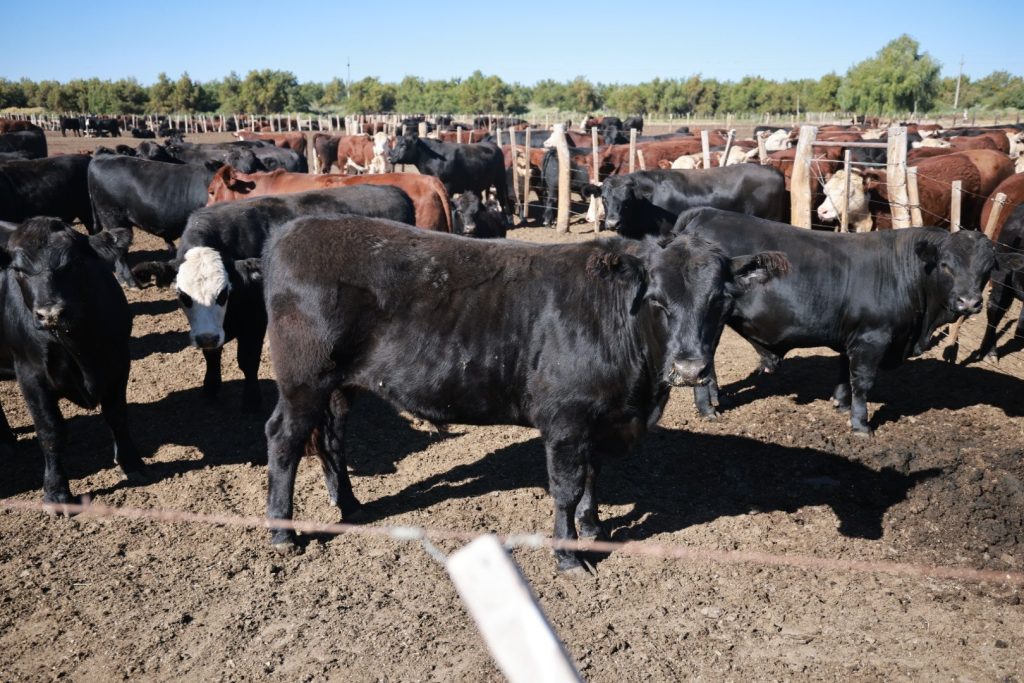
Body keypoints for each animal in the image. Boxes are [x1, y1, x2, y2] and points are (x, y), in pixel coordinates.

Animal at [0, 217, 144, 503]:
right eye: (18, 269)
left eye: (74, 263)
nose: (50, 313)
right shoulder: (30, 376)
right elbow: (50, 432)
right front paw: (56, 492)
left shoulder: (119, 362)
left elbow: (117, 415)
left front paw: (131, 462)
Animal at [132, 186, 416, 410]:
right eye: (183, 295)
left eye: (224, 293)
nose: (207, 338)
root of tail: (393, 190)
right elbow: (212, 357)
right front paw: (210, 389)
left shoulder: (255, 322)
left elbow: (247, 361)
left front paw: (251, 401)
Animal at [260, 214, 787, 570]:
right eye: (657, 300)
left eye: (721, 301)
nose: (690, 367)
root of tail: (291, 230)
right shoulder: (566, 420)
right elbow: (566, 487)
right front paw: (569, 556)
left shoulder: (599, 421)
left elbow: (592, 478)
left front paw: (594, 530)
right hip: (303, 381)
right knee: (284, 439)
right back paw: (283, 532)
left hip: (340, 386)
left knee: (331, 439)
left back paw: (349, 505)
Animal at [672, 207, 1024, 433]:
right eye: (946, 265)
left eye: (987, 268)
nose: (970, 302)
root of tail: (705, 213)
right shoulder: (872, 338)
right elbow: (863, 382)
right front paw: (860, 424)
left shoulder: (852, 337)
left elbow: (845, 373)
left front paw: (840, 404)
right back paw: (708, 410)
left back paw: (715, 399)